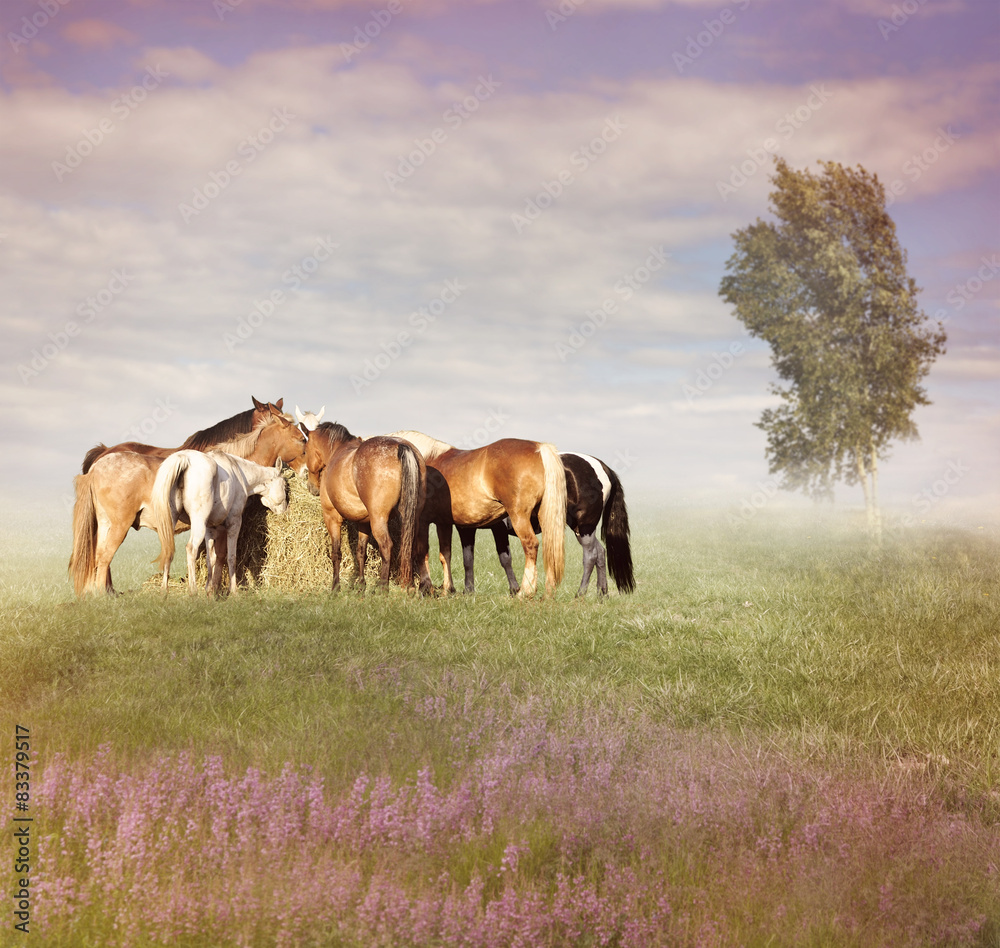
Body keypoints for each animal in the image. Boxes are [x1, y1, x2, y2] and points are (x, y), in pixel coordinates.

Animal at [150, 450, 288, 592]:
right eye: (285, 485)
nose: (284, 509)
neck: (239, 473)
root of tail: (184, 459)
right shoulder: (234, 523)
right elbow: (231, 557)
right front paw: (233, 591)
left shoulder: (210, 528)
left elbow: (211, 559)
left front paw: (209, 590)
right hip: (198, 524)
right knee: (191, 549)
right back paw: (193, 591)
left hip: (171, 522)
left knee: (168, 549)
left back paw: (164, 590)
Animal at [302, 424, 424, 592]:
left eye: (305, 451)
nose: (311, 487)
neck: (337, 452)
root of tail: (400, 446)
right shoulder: (364, 523)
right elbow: (361, 552)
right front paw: (361, 585)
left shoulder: (332, 518)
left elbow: (336, 553)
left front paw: (335, 587)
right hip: (413, 518)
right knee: (411, 547)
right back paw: (411, 586)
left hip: (378, 520)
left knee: (386, 546)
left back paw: (383, 587)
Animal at [388, 432, 568, 596]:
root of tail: (539, 448)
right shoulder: (444, 523)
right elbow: (445, 555)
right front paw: (448, 589)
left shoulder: (423, 521)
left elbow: (422, 552)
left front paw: (426, 588)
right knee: (550, 549)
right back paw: (548, 591)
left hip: (519, 516)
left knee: (531, 545)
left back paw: (525, 591)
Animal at [458, 454, 636, 600]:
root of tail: (603, 467)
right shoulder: (465, 529)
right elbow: (468, 559)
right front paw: (468, 591)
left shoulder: (499, 528)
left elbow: (505, 559)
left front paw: (515, 590)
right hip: (581, 529)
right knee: (600, 552)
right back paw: (602, 594)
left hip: (584, 526)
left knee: (590, 556)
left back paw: (580, 594)